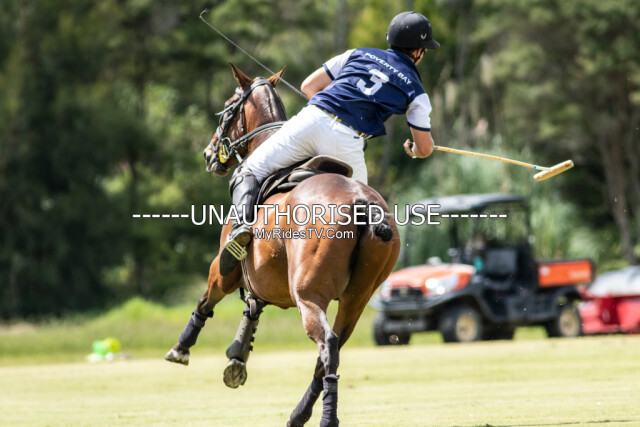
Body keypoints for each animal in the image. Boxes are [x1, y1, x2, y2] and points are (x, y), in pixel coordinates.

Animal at [165, 63, 400, 427]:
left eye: (227, 108)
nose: (208, 154)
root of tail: (363, 202)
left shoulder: (225, 267)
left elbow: (208, 298)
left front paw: (183, 348)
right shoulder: (265, 278)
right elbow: (253, 308)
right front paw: (238, 354)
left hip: (308, 292)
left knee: (326, 344)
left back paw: (325, 418)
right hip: (358, 298)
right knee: (332, 350)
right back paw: (299, 413)